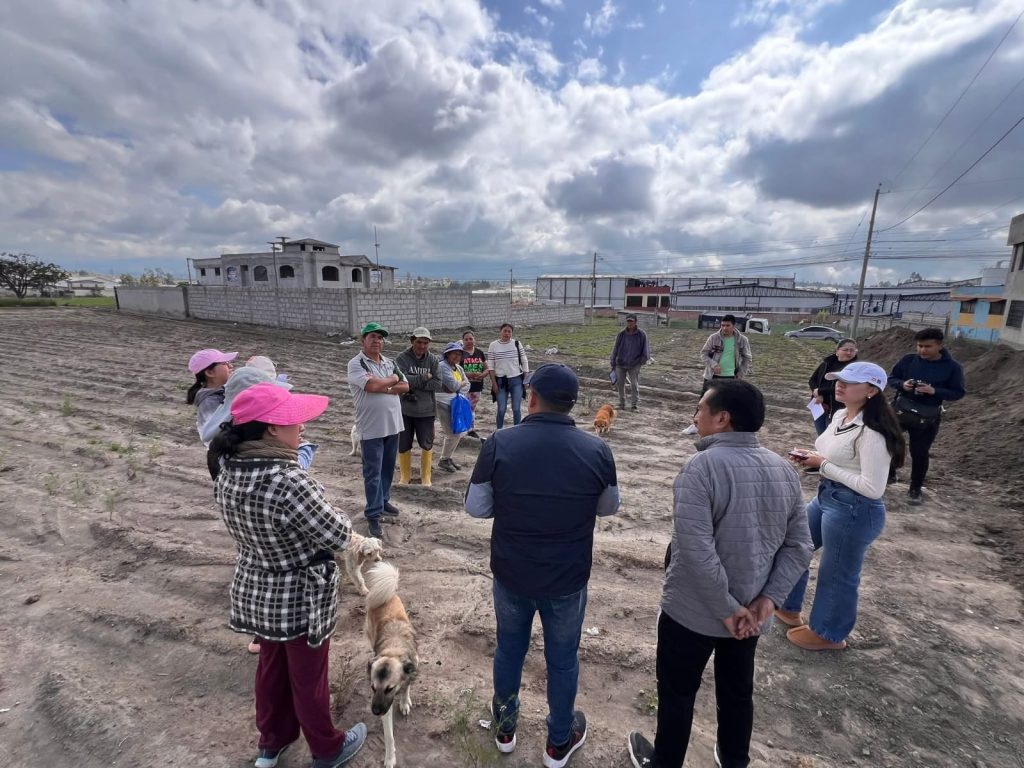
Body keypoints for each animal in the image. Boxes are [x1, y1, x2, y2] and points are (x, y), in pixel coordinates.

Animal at [365, 562, 418, 768]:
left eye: (390, 688)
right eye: (373, 687)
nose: (375, 711)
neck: (393, 650)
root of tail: (387, 595)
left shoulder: (412, 668)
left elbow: (407, 687)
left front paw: (404, 701)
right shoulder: (385, 707)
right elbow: (388, 736)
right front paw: (390, 758)